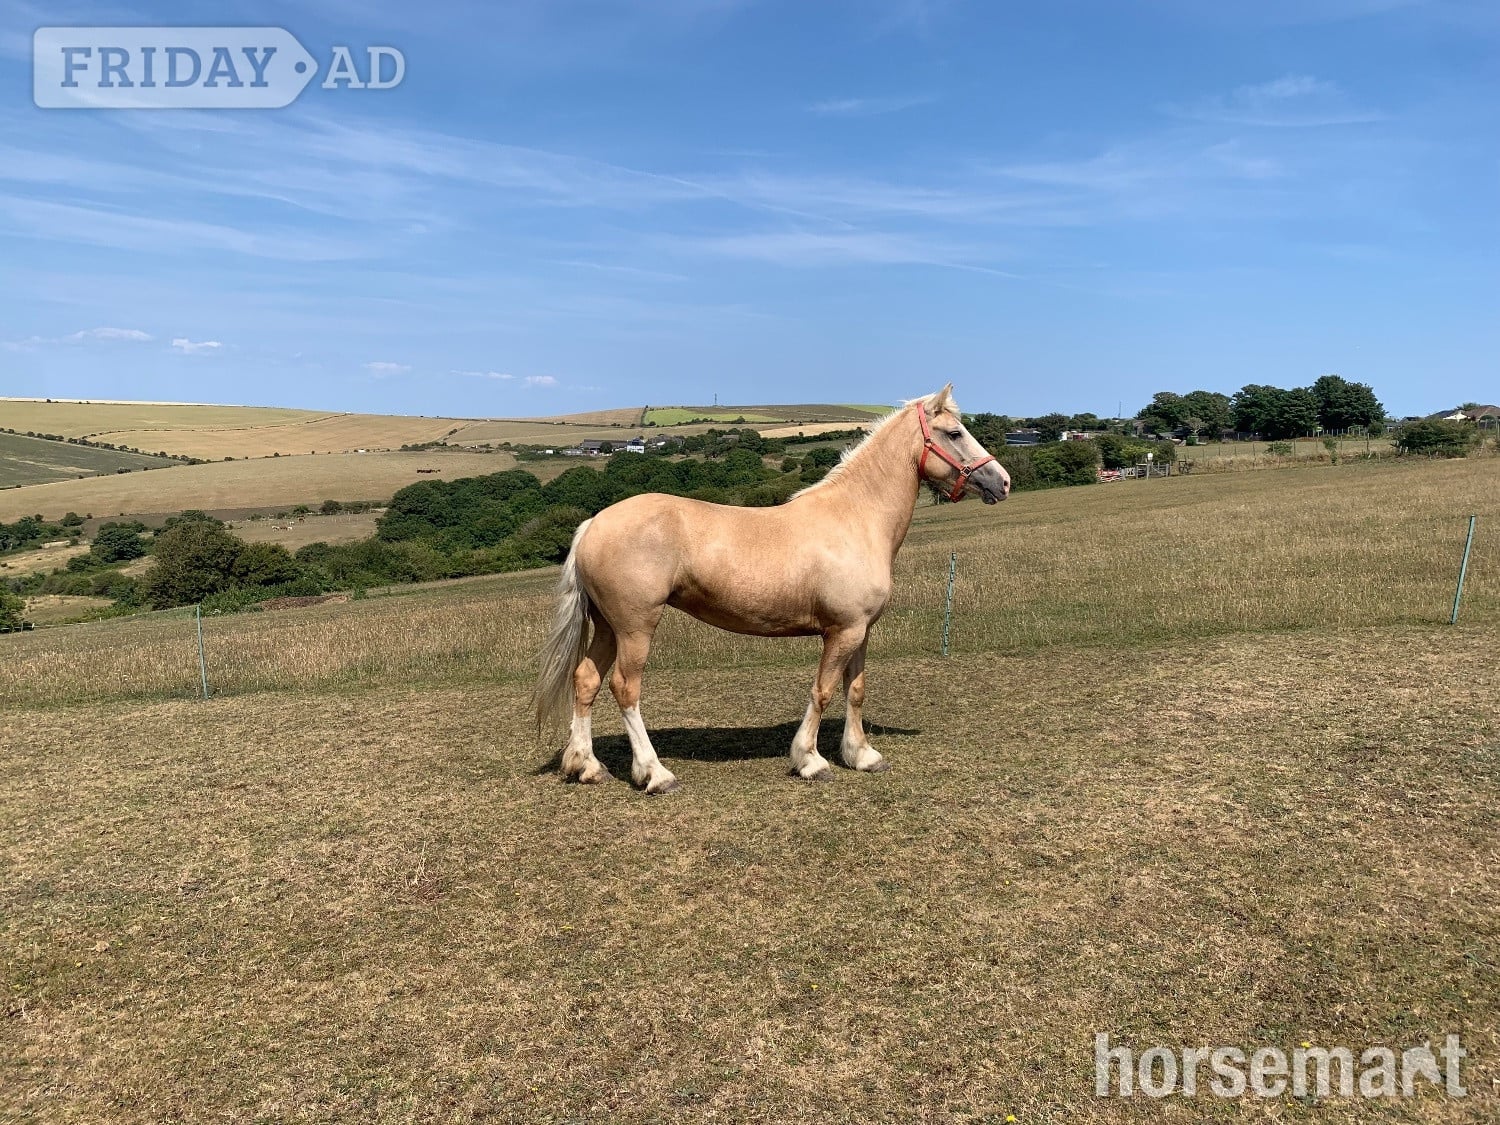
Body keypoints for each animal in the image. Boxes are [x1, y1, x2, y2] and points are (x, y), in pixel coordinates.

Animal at [533, 384, 1010, 793]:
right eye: (955, 433)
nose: (1002, 481)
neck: (855, 517)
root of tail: (594, 524)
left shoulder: (861, 631)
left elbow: (855, 691)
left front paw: (863, 756)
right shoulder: (842, 631)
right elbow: (823, 691)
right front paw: (811, 761)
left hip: (608, 626)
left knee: (586, 681)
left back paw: (586, 767)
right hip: (635, 627)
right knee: (625, 689)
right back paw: (655, 773)